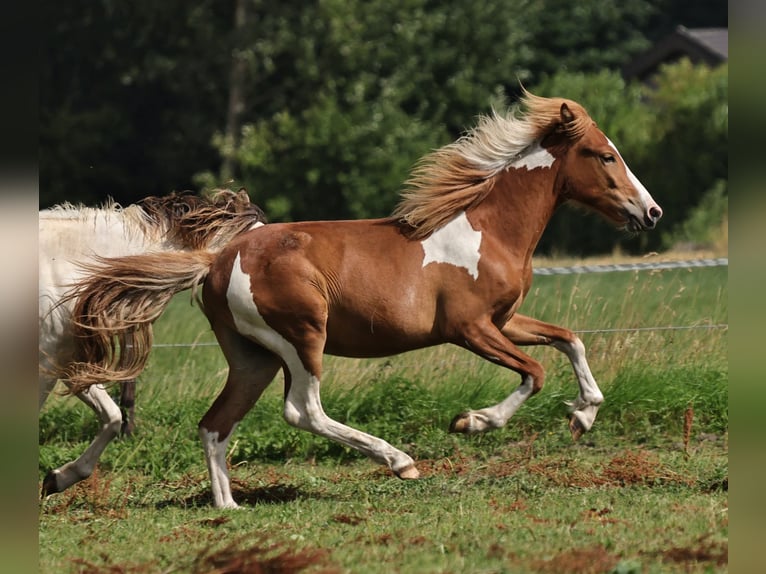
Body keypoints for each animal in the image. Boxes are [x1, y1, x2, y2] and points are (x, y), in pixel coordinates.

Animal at [64, 91, 662, 508]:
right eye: (605, 156)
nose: (650, 212)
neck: (488, 230)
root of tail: (218, 260)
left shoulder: (505, 320)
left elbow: (570, 341)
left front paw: (584, 415)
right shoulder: (470, 328)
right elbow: (534, 372)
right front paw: (473, 422)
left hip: (253, 356)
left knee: (216, 422)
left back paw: (227, 506)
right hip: (303, 337)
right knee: (303, 410)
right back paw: (399, 461)